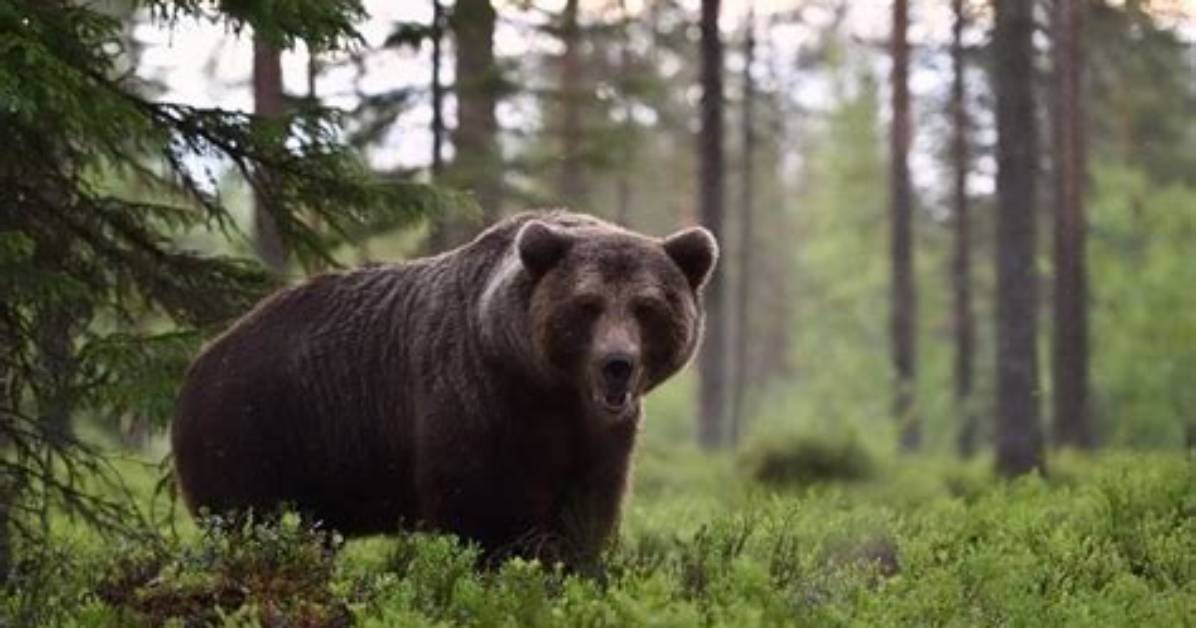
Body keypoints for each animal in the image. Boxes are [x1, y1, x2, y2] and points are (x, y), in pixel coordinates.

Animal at [171, 210, 718, 565]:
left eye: (648, 306)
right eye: (586, 304)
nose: (617, 364)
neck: (548, 387)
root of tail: (201, 357)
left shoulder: (599, 436)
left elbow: (588, 510)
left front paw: (571, 565)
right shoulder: (480, 400)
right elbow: (484, 510)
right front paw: (512, 566)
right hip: (250, 427)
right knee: (242, 518)